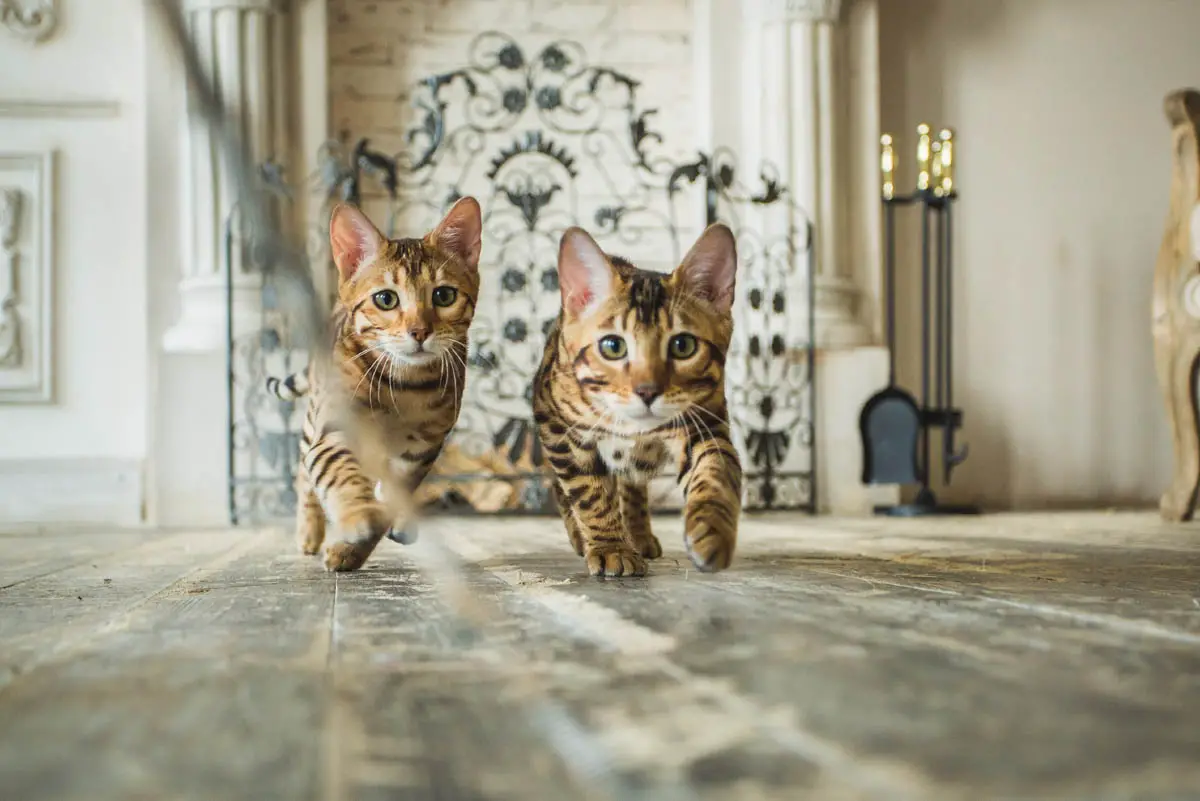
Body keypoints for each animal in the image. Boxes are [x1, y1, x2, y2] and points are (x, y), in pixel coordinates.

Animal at [268, 196, 482, 573]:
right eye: (386, 299)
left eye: (443, 295)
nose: (419, 332)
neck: (404, 387)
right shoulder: (333, 430)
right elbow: (339, 474)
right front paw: (357, 518)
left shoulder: (421, 451)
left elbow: (392, 499)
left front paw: (358, 545)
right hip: (314, 420)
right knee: (303, 473)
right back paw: (309, 530)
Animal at [532, 225, 739, 575]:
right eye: (613, 346)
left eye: (683, 345)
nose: (647, 391)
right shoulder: (558, 426)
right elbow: (587, 491)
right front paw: (610, 547)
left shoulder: (705, 421)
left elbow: (716, 472)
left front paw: (713, 531)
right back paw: (581, 535)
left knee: (632, 482)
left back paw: (639, 533)